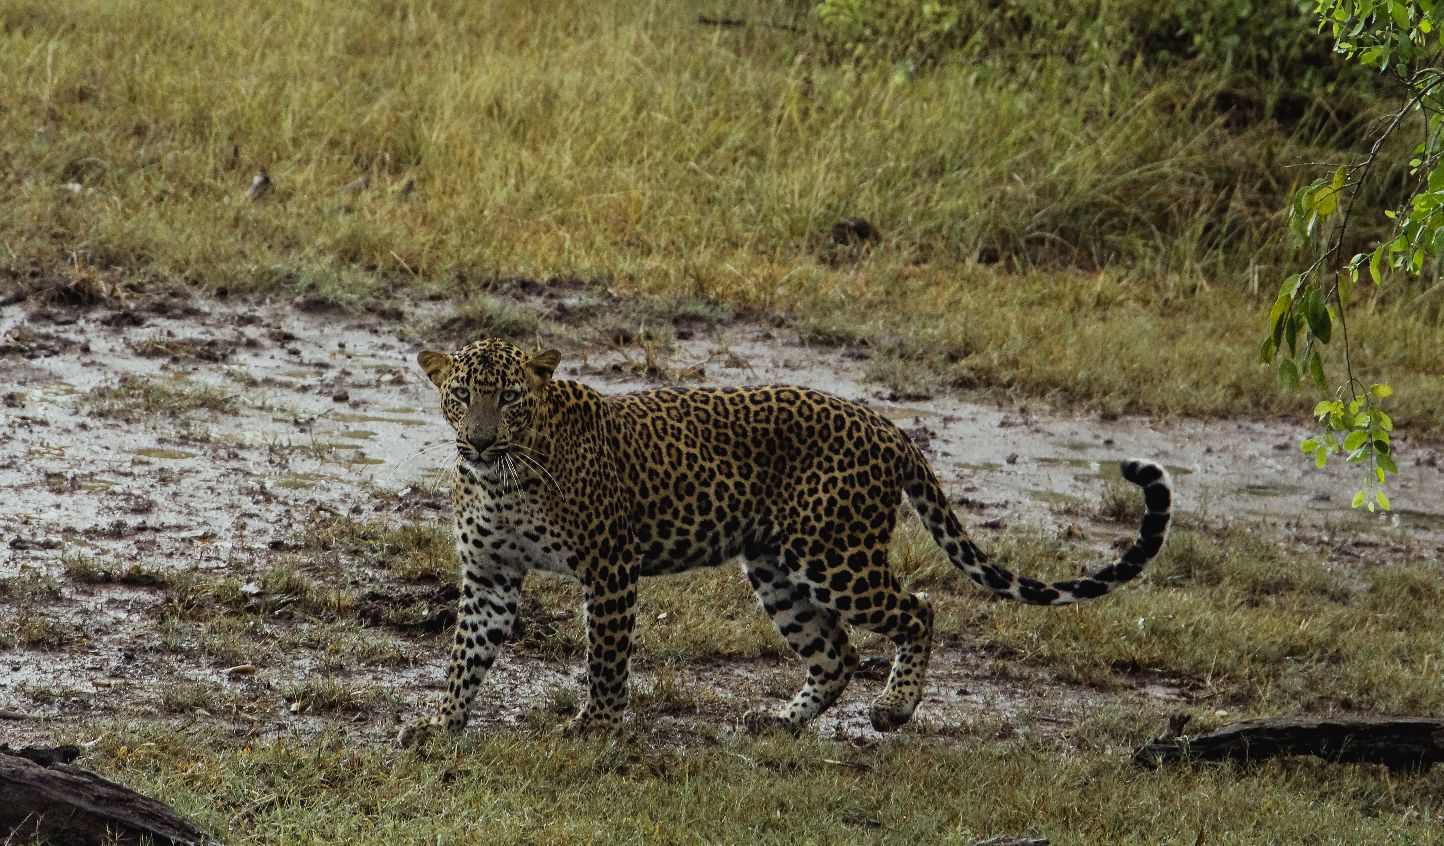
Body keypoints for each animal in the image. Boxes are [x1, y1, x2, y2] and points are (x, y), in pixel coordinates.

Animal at [398, 339, 1172, 739]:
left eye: (510, 399)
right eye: (461, 395)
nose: (479, 440)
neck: (504, 477)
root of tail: (889, 428)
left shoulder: (610, 568)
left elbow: (606, 658)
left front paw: (597, 724)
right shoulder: (490, 577)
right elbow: (465, 656)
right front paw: (440, 723)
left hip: (836, 557)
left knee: (917, 611)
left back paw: (894, 708)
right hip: (777, 568)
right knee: (836, 653)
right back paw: (781, 720)